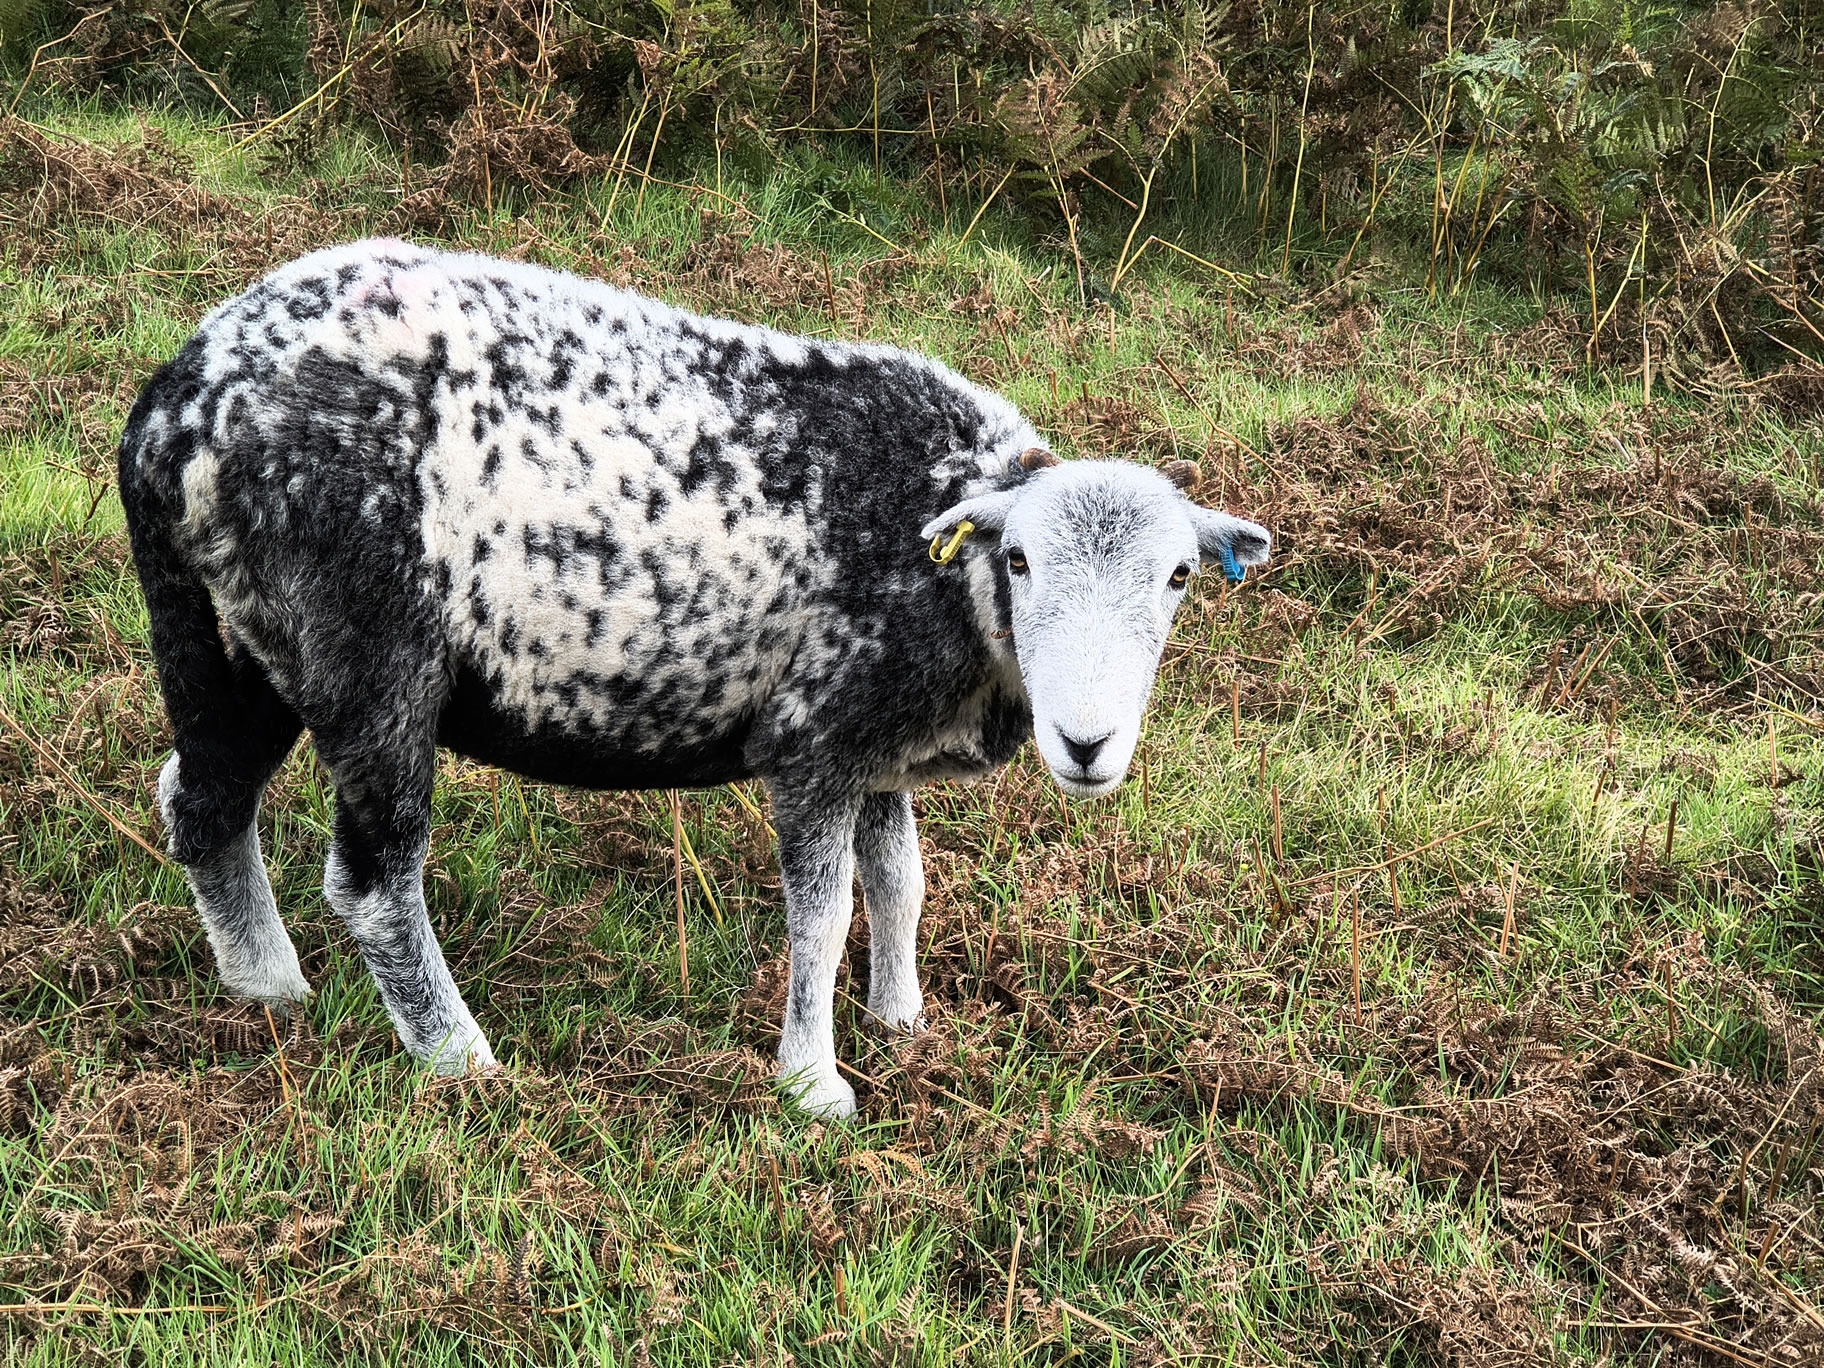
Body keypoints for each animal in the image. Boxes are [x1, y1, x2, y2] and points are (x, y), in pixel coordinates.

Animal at [117, 238, 1271, 1118]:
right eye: (1020, 561)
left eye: (1178, 577)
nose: (1088, 744)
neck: (943, 572)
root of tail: (179, 400)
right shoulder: (815, 738)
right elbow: (827, 913)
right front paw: (815, 1086)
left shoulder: (876, 735)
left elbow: (901, 882)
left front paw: (903, 1024)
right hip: (364, 644)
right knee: (372, 879)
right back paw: (459, 1058)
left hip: (247, 635)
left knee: (203, 798)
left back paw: (267, 990)